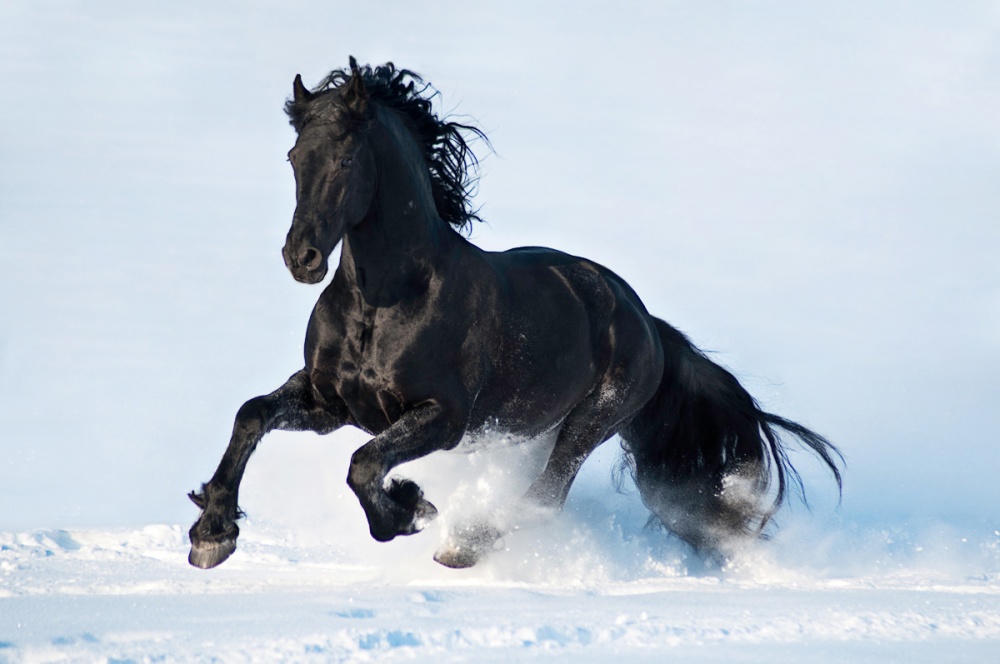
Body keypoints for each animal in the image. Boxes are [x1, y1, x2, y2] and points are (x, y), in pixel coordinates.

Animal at [187, 58, 843, 570]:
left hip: (589, 423)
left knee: (545, 495)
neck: (385, 302)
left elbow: (363, 465)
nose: (301, 257)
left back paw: (465, 543)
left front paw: (411, 507)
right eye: (294, 155)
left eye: (346, 161)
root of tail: (645, 322)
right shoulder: (330, 404)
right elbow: (252, 416)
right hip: (537, 426)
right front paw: (212, 533)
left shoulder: (444, 418)